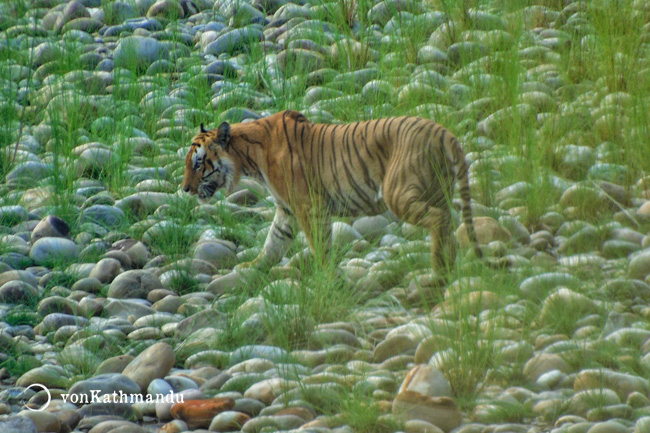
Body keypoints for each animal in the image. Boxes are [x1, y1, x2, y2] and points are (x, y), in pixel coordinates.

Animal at [182, 110, 480, 274]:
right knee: (449, 221)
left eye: (198, 163)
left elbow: (319, 244)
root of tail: (443, 133)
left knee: (440, 219)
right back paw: (449, 266)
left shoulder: (307, 207)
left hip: (398, 193)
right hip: (437, 191)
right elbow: (273, 242)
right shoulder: (286, 211)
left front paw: (327, 276)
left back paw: (439, 268)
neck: (249, 158)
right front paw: (252, 267)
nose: (185, 189)